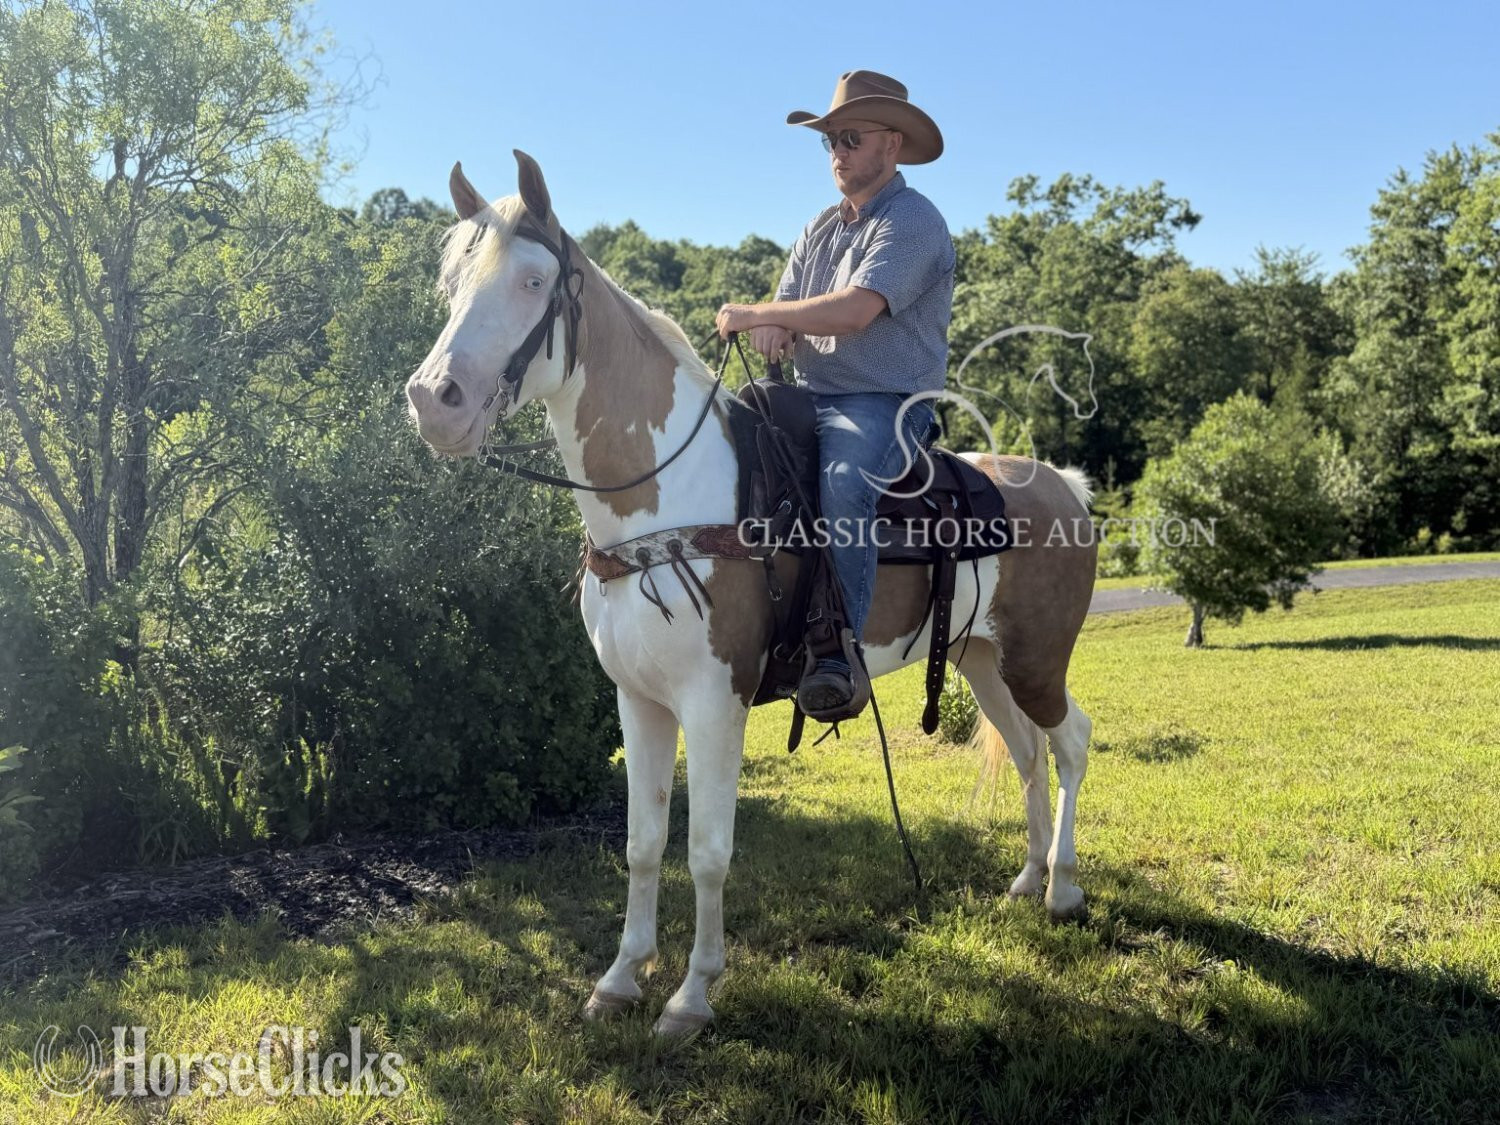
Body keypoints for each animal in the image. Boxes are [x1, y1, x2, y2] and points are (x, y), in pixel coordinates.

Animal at [405, 151, 1098, 1038]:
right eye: (451, 280)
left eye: (532, 280)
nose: (435, 400)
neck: (670, 497)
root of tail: (1065, 485)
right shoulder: (639, 701)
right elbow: (643, 844)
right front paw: (620, 978)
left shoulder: (714, 701)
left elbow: (707, 851)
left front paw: (691, 995)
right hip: (983, 660)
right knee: (1028, 750)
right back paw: (1026, 877)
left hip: (1040, 660)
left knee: (1071, 742)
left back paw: (1064, 887)